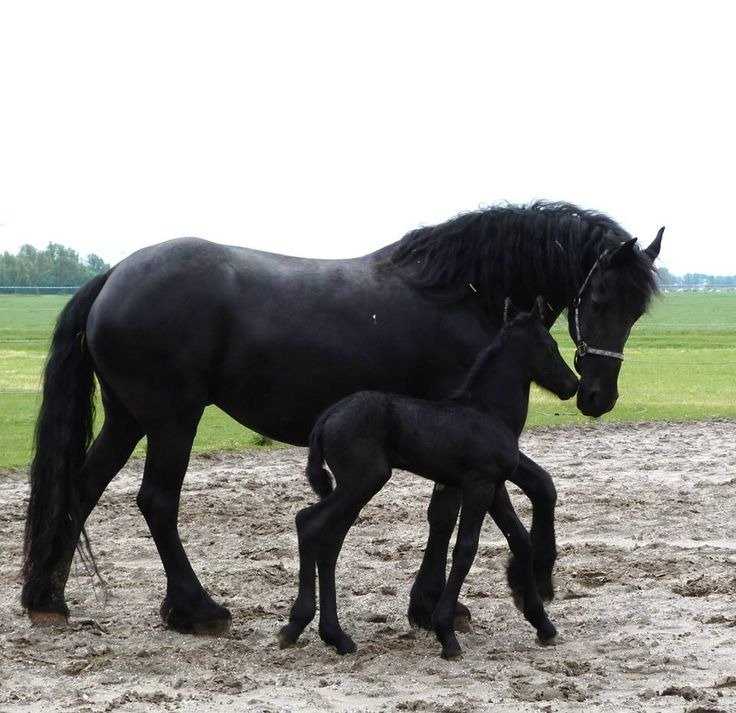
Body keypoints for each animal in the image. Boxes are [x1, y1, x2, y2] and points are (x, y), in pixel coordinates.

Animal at [278, 299, 579, 659]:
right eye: (549, 346)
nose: (572, 385)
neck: (488, 412)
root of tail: (328, 416)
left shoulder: (493, 486)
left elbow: (519, 539)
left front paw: (542, 623)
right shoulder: (478, 485)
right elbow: (465, 549)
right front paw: (446, 633)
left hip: (354, 487)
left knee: (327, 538)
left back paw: (332, 635)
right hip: (362, 482)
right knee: (310, 524)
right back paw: (302, 627)